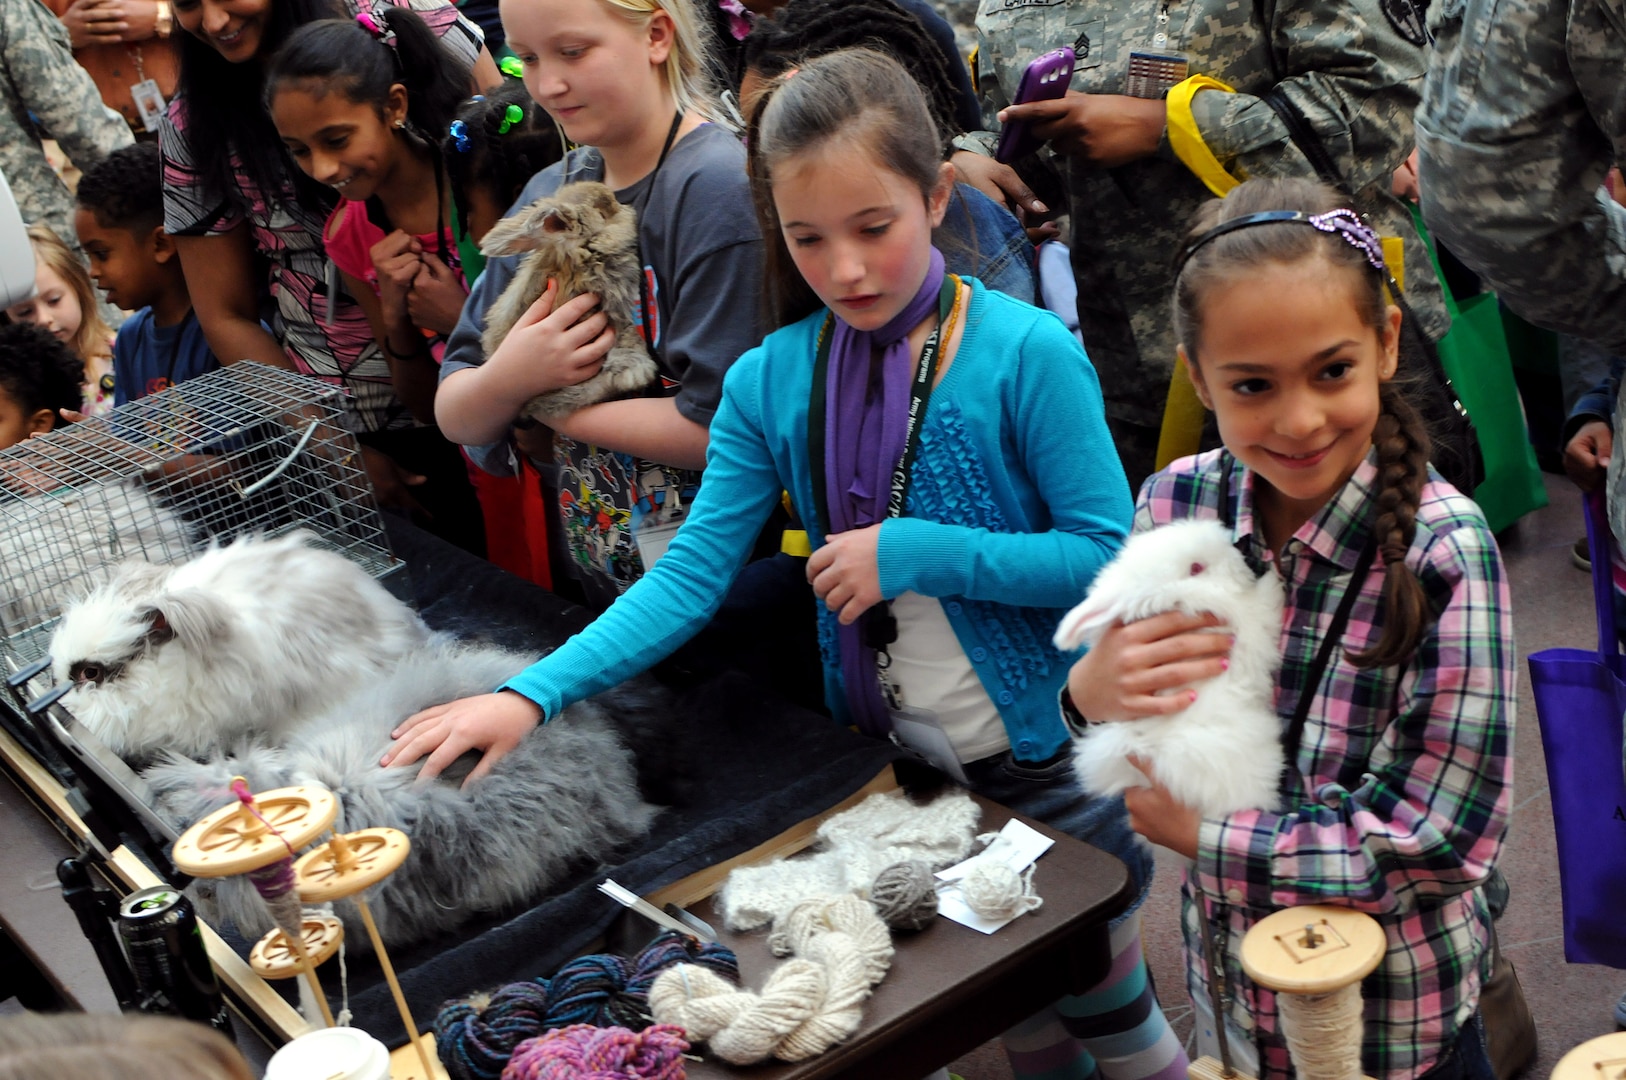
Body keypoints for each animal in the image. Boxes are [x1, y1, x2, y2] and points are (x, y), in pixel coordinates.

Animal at [474, 181, 653, 422]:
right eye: (602, 213)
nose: (628, 209)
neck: (577, 260)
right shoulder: (614, 308)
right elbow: (628, 334)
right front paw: (635, 372)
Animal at [1053, 523, 1294, 819]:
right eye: (1195, 568)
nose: (1244, 558)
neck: (1182, 600)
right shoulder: (1247, 625)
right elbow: (1265, 604)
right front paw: (1274, 577)